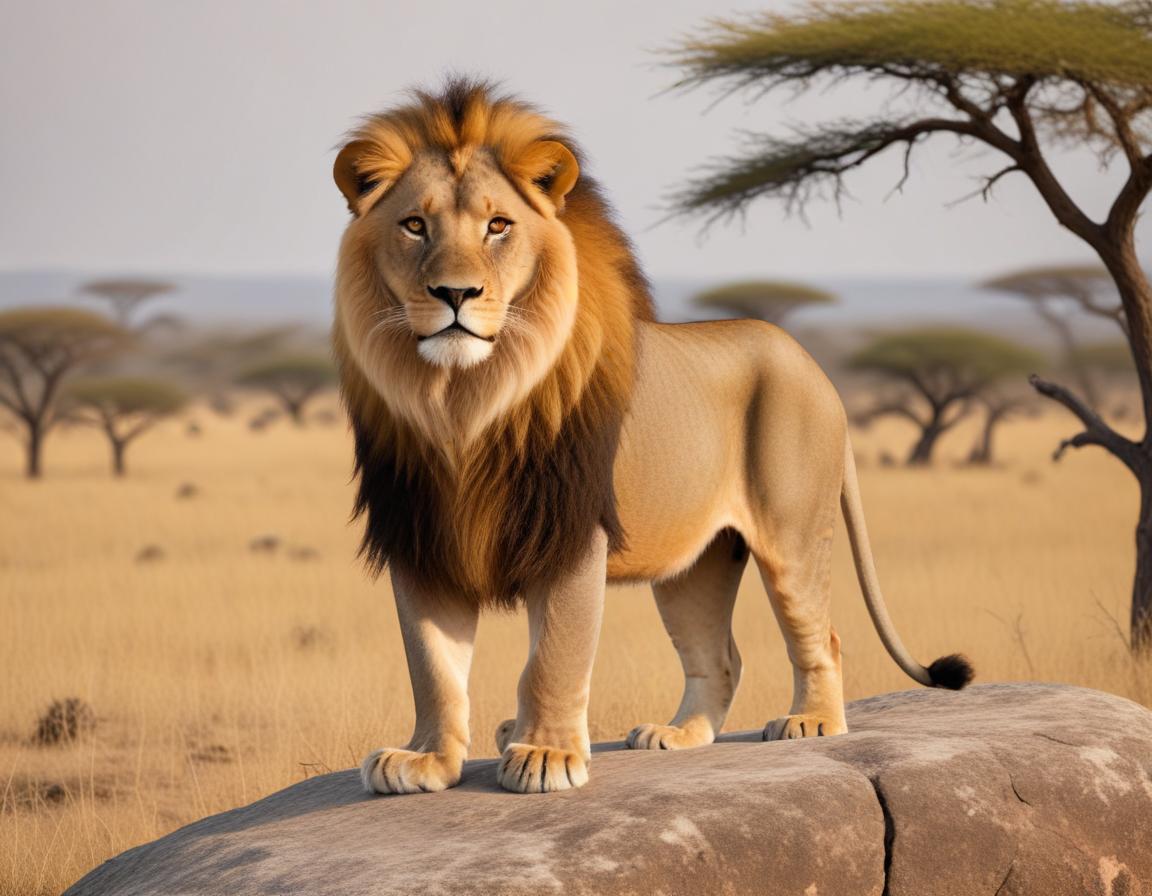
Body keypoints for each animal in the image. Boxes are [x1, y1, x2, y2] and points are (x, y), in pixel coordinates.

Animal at [331, 78, 972, 796]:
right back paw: (678, 734)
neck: (462, 402)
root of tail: (811, 363)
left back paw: (811, 722)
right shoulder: (420, 538)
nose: (454, 293)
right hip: (695, 562)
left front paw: (545, 755)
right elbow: (432, 667)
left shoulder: (570, 531)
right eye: (415, 225)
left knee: (820, 636)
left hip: (792, 535)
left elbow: (554, 656)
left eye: (498, 226)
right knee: (719, 656)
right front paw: (425, 761)